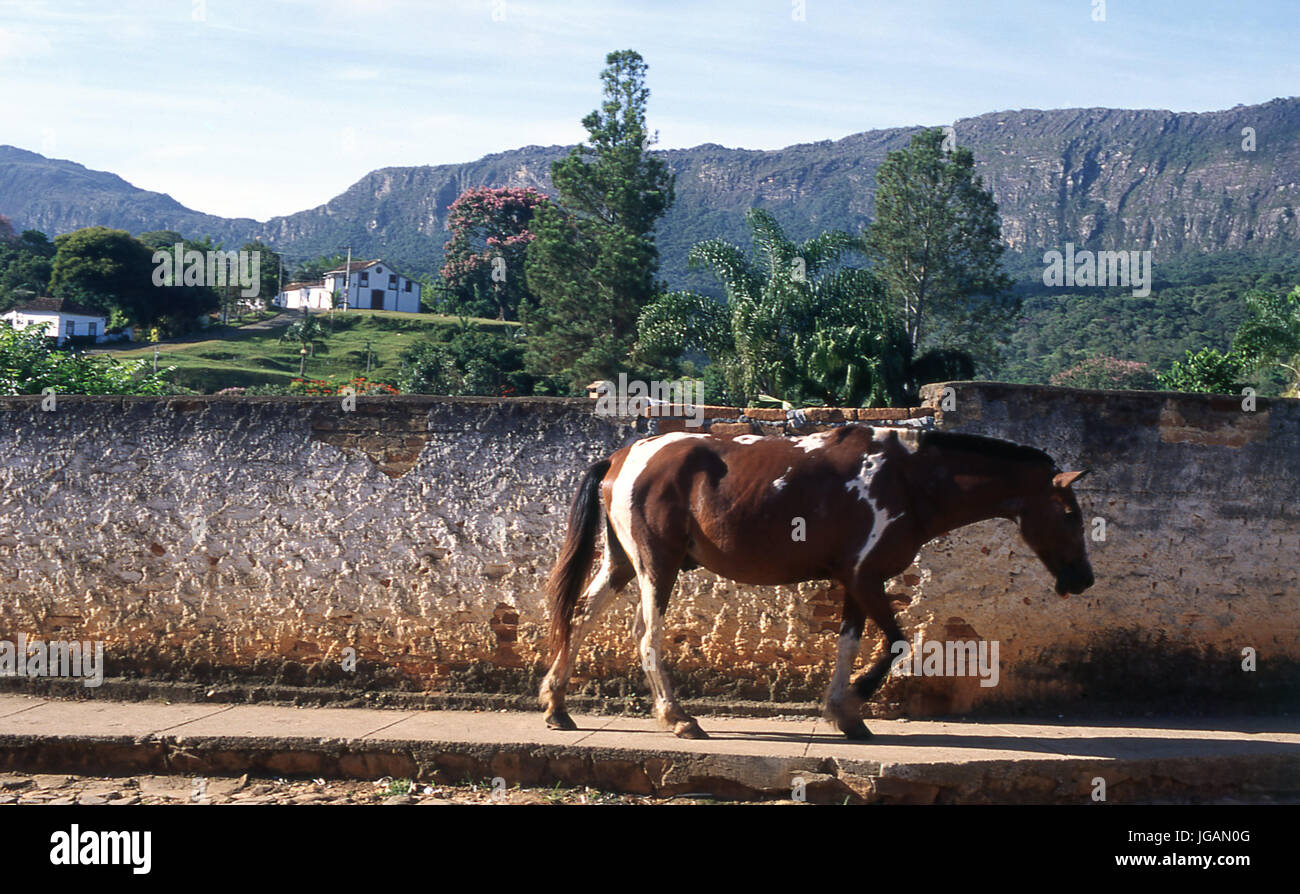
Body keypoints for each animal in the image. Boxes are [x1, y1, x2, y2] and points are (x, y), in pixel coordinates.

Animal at [540, 426, 1097, 738]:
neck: (909, 479)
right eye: (1070, 514)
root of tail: (622, 457)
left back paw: (557, 705)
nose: (1084, 578)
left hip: (621, 563)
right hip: (658, 564)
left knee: (581, 616)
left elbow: (851, 643)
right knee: (646, 636)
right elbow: (895, 643)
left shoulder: (855, 581)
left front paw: (843, 713)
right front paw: (855, 700)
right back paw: (678, 718)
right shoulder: (866, 578)